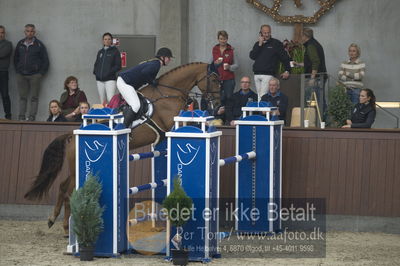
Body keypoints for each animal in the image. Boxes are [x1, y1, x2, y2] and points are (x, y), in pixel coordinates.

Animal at [23, 61, 220, 235]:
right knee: (67, 191)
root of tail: (72, 136)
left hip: (73, 169)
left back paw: (56, 222)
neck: (168, 93)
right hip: (75, 169)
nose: (217, 105)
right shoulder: (170, 124)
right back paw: (63, 226)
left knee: (64, 188)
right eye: (214, 79)